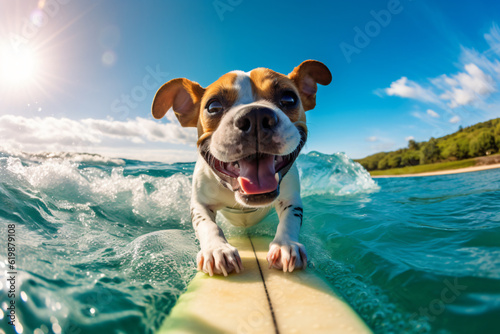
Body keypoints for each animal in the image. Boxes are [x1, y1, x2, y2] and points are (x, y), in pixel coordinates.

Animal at [152, 60, 332, 276]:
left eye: (289, 99)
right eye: (213, 106)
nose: (256, 115)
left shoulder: (291, 199)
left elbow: (291, 218)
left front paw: (285, 245)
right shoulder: (200, 203)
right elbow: (206, 224)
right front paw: (217, 249)